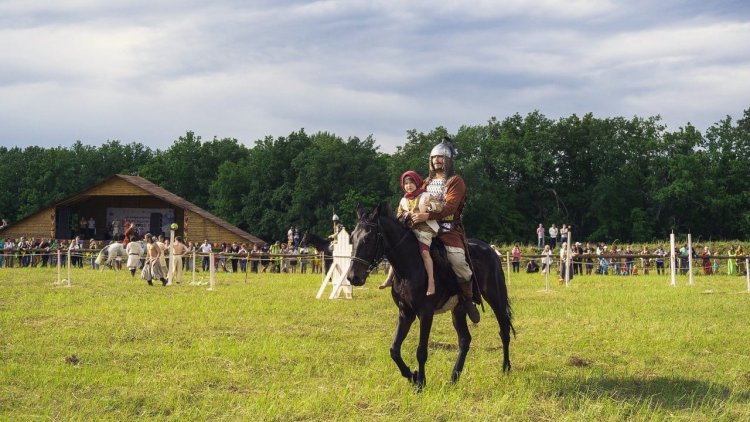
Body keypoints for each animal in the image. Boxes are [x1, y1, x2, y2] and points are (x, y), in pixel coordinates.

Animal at [346, 203, 514, 390]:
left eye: (369, 238)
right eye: (352, 238)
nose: (353, 277)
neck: (410, 265)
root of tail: (491, 250)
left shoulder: (425, 313)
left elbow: (421, 351)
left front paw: (420, 383)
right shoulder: (405, 313)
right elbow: (394, 350)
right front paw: (412, 376)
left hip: (496, 298)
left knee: (504, 331)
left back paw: (506, 368)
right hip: (459, 309)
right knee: (465, 339)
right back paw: (454, 377)